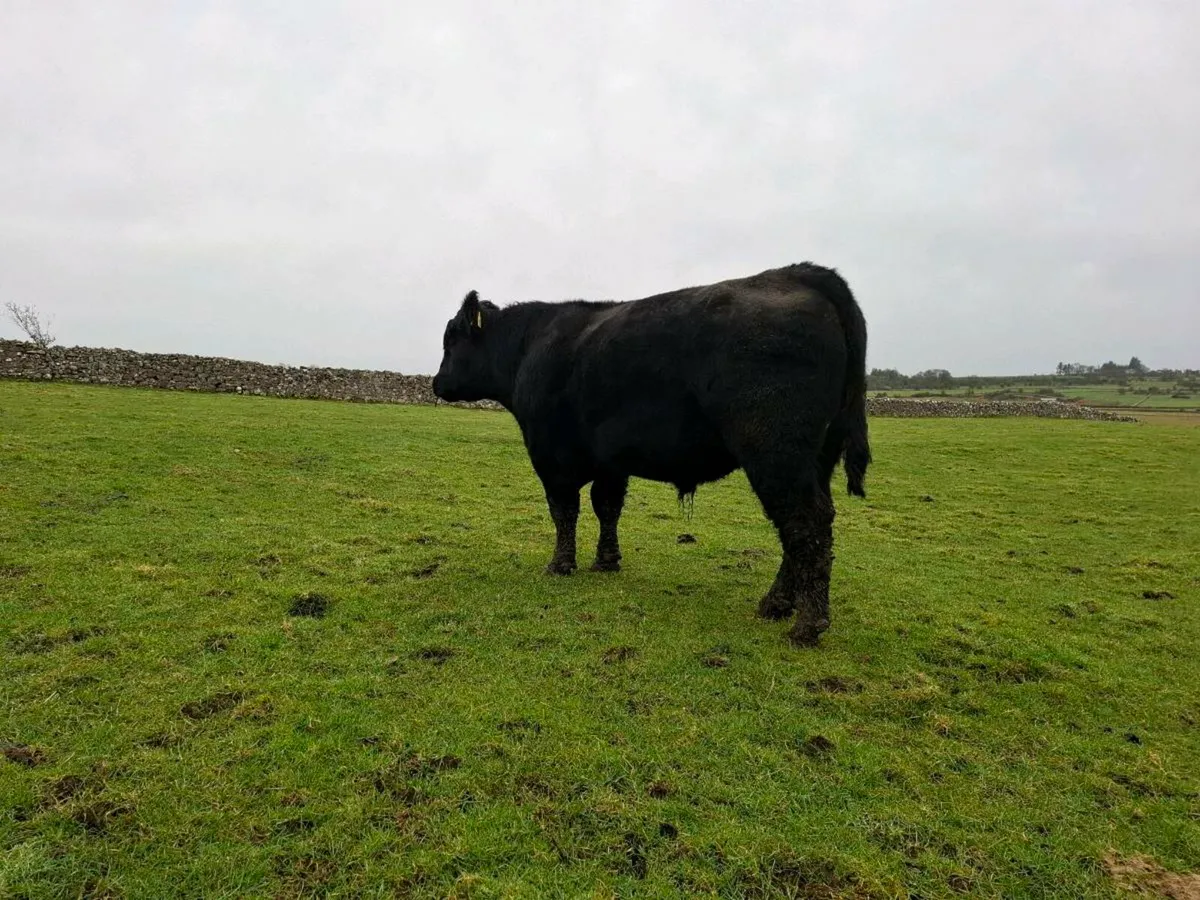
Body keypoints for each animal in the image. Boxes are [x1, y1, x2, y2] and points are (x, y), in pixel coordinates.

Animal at [431, 263, 871, 645]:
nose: (435, 383)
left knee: (804, 524)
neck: (529, 349)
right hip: (816, 459)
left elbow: (565, 511)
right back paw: (776, 606)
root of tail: (798, 273)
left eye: (451, 340)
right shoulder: (610, 461)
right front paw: (607, 561)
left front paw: (560, 565)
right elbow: (606, 506)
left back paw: (806, 623)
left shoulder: (550, 456)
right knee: (806, 527)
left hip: (775, 452)